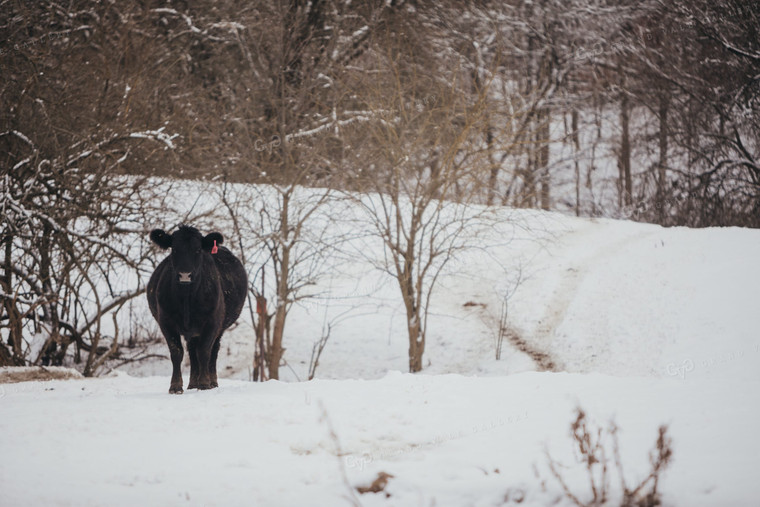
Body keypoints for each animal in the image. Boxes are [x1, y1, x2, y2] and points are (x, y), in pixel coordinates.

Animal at [145, 224, 246, 394]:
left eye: (198, 250)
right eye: (174, 249)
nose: (185, 275)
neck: (187, 298)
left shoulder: (212, 322)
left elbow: (204, 351)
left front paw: (204, 383)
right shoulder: (166, 321)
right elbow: (177, 352)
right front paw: (175, 386)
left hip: (219, 327)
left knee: (212, 350)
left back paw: (212, 382)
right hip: (192, 331)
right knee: (192, 351)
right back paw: (192, 383)